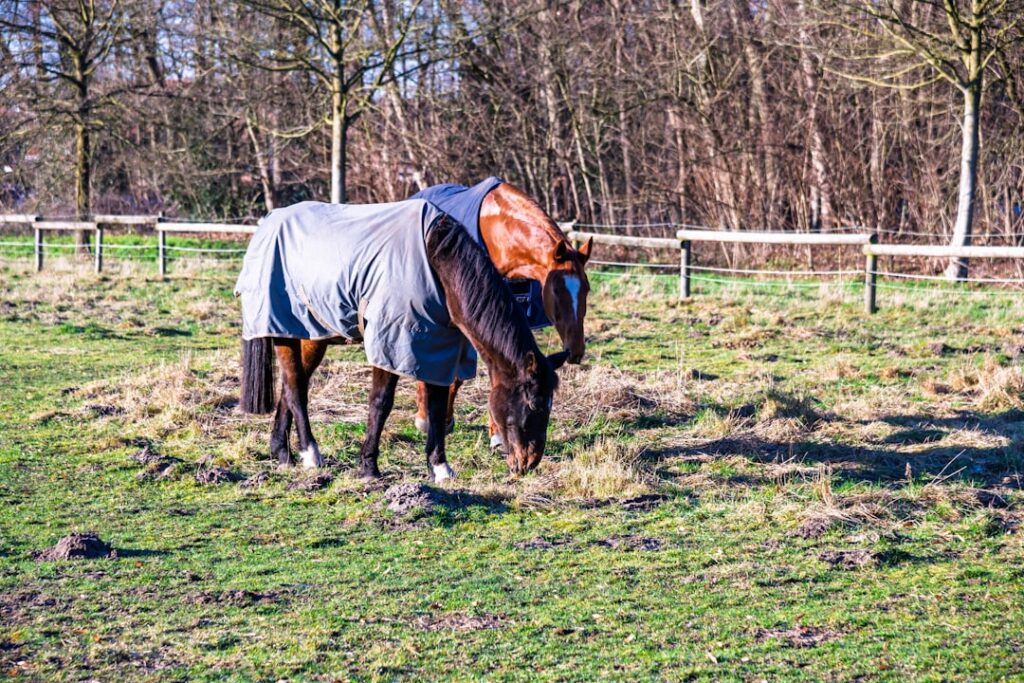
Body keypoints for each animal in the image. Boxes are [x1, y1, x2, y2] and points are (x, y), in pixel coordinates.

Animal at [236, 199, 569, 479]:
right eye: (534, 404)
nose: (528, 462)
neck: (436, 263)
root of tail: (267, 223)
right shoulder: (390, 342)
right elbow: (381, 403)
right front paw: (369, 467)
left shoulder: (438, 348)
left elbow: (437, 407)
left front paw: (440, 468)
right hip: (286, 331)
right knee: (295, 389)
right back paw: (309, 454)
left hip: (310, 336)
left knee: (291, 387)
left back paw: (282, 453)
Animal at [409, 178, 593, 448]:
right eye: (557, 289)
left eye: (587, 288)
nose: (576, 350)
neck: (499, 232)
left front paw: (496, 433)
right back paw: (424, 416)